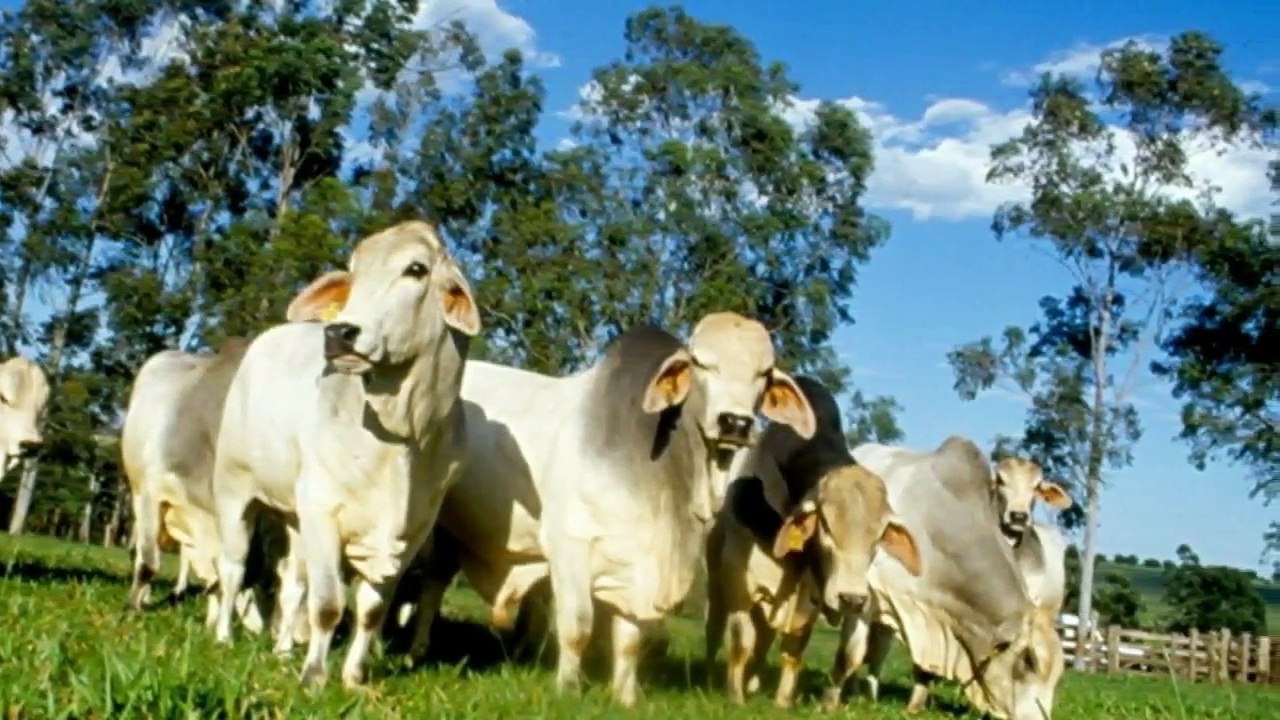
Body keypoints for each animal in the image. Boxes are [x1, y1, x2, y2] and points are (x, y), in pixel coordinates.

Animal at [209, 220, 480, 689]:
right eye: (353, 274)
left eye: (416, 269)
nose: (338, 333)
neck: (404, 434)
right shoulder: (323, 512)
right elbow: (328, 605)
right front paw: (314, 677)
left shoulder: (410, 532)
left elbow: (372, 611)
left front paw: (354, 677)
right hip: (235, 490)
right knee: (234, 567)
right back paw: (225, 637)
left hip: (295, 517)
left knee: (292, 585)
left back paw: (283, 650)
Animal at [392, 313, 818, 707]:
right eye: (701, 363)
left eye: (764, 374)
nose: (735, 422)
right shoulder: (570, 546)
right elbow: (578, 624)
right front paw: (567, 688)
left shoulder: (638, 567)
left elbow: (629, 640)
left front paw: (625, 696)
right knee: (427, 582)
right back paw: (415, 650)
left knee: (434, 581)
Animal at [703, 376, 921, 708]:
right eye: (827, 528)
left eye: (879, 536)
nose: (852, 600)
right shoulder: (740, 579)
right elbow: (741, 643)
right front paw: (735, 697)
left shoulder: (808, 595)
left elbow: (794, 647)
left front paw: (781, 701)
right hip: (716, 578)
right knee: (715, 627)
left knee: (765, 638)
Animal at [833, 437, 1066, 720]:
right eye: (1029, 661)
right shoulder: (867, 593)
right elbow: (850, 654)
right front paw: (831, 704)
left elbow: (923, 669)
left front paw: (914, 707)